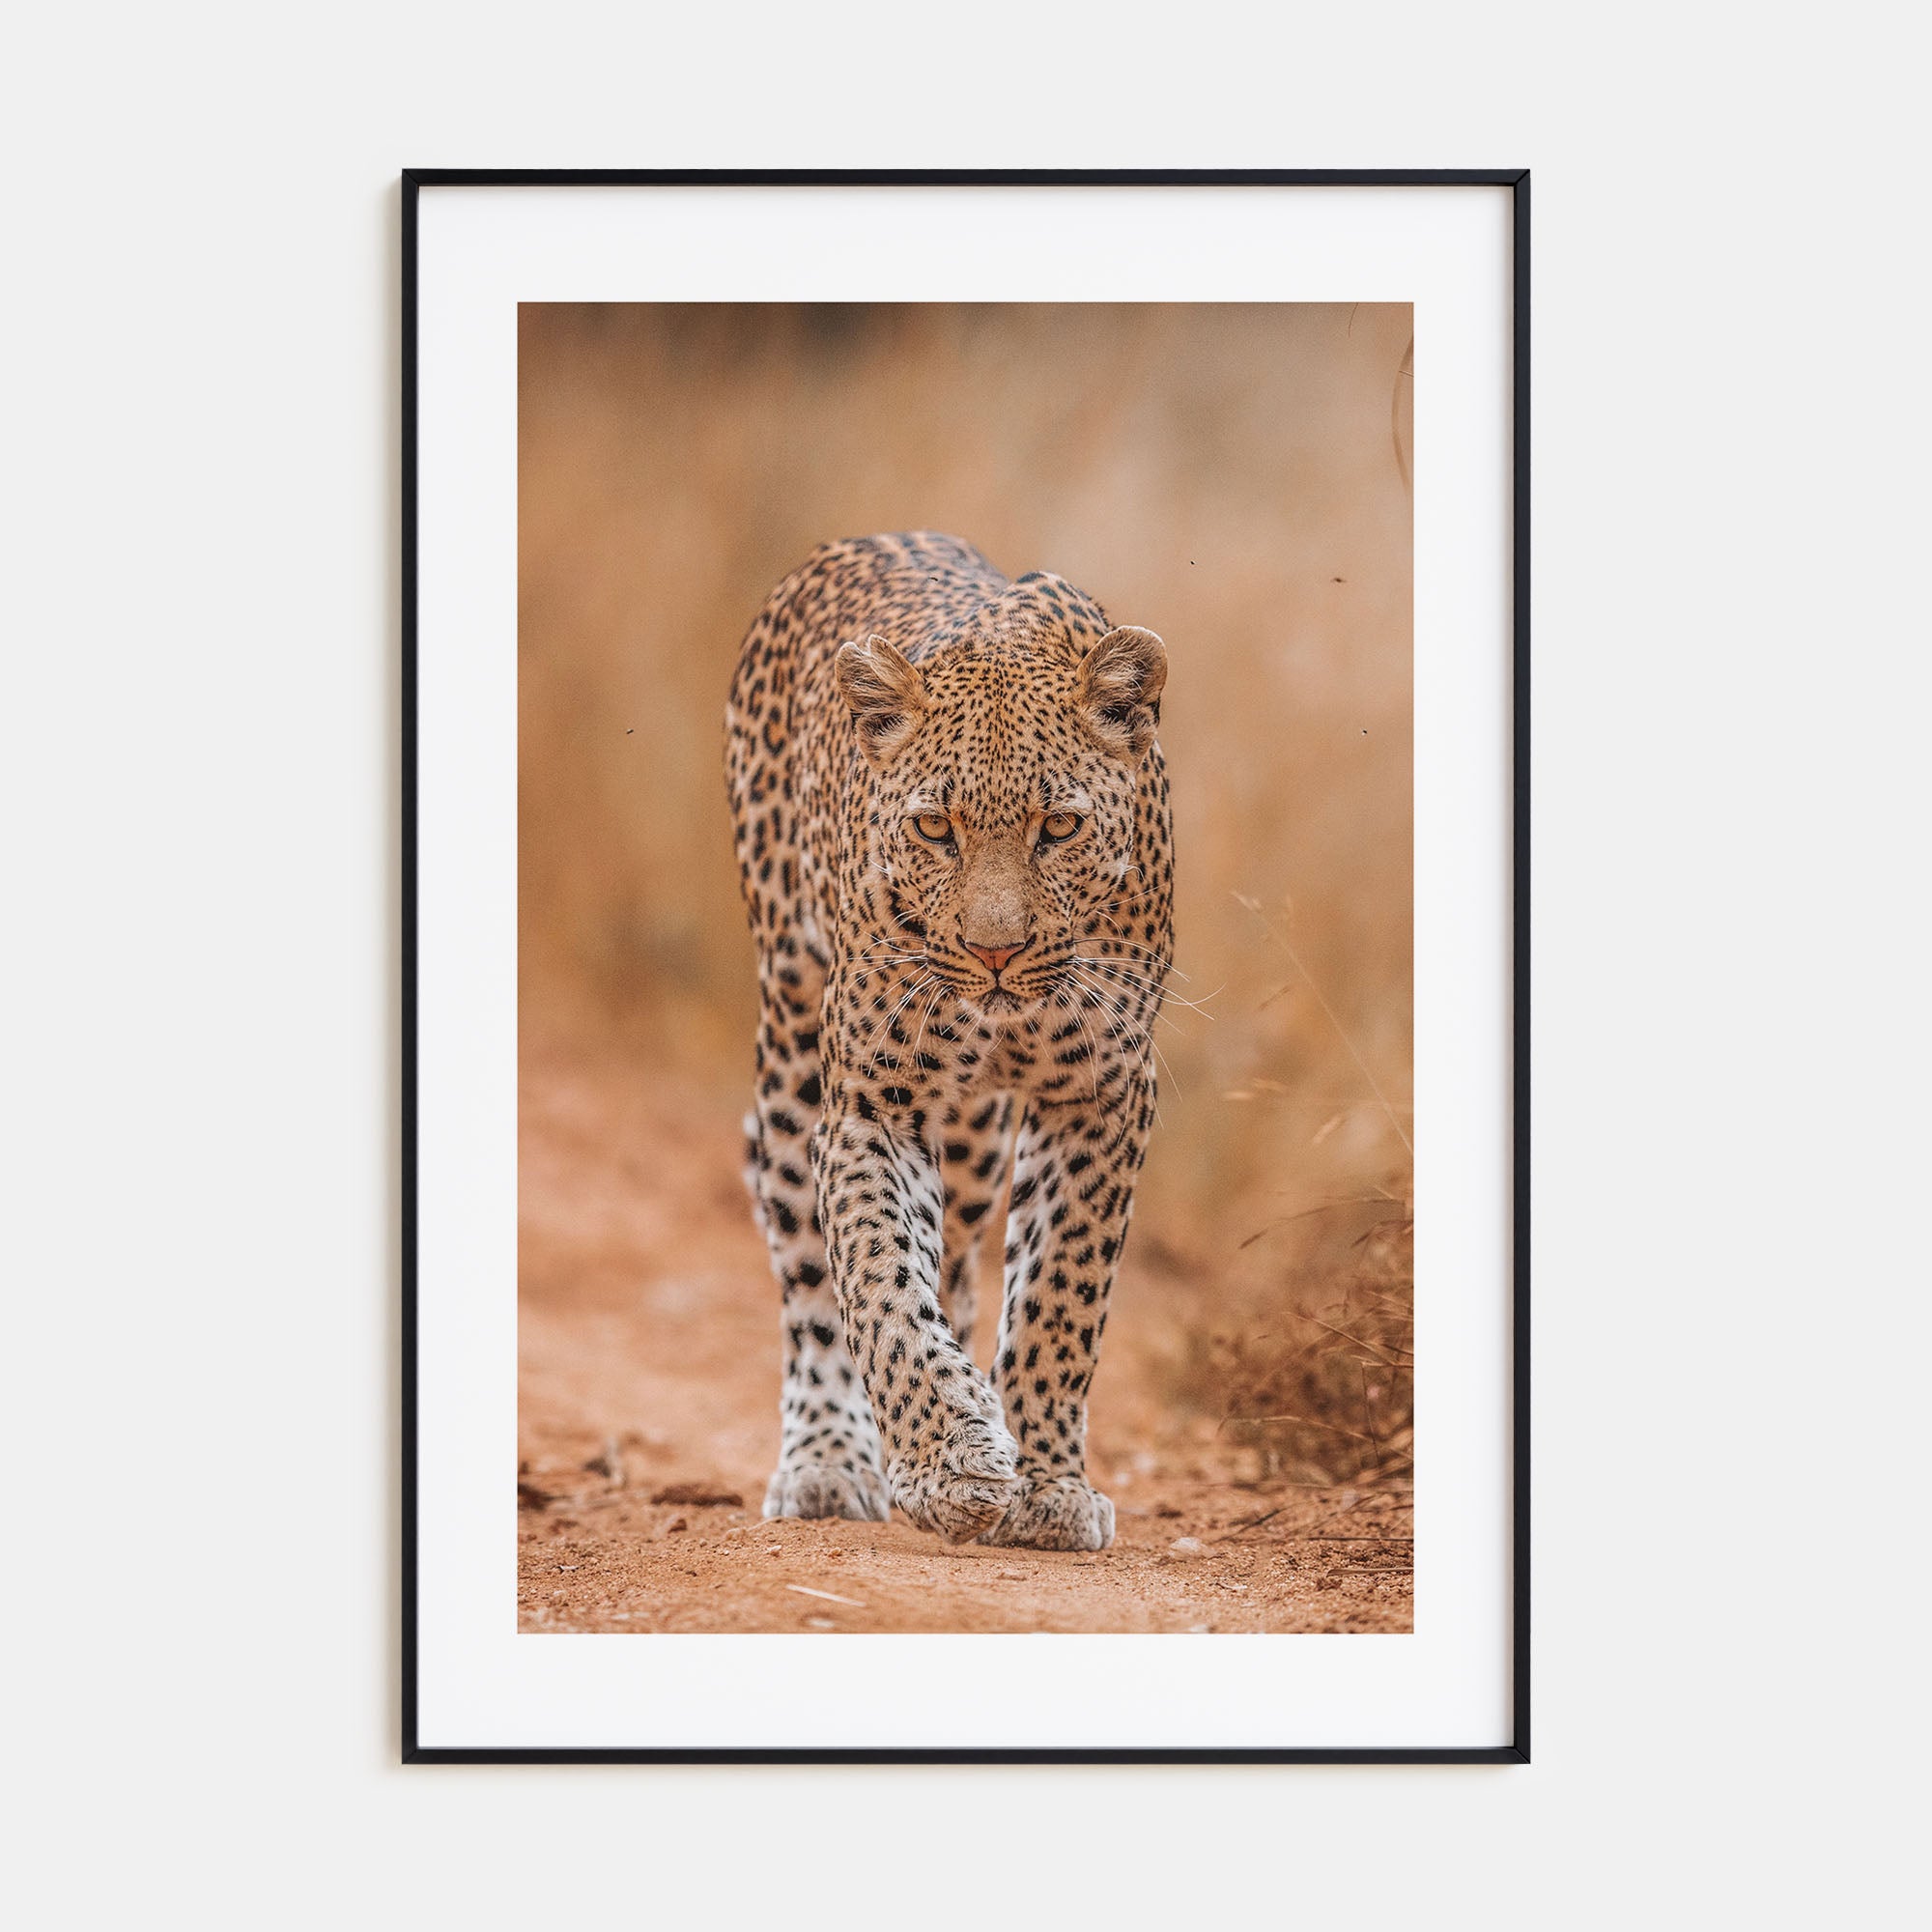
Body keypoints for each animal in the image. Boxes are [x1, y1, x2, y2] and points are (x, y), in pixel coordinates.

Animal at [724, 532, 1173, 1552]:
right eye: (934, 827)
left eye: (1060, 826)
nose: (994, 951)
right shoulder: (872, 1101)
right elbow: (880, 1281)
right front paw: (947, 1462)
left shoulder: (1102, 1092)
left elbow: (1059, 1295)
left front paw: (1045, 1485)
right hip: (791, 1047)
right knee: (808, 1269)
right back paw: (829, 1461)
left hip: (973, 1141)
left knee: (964, 1261)